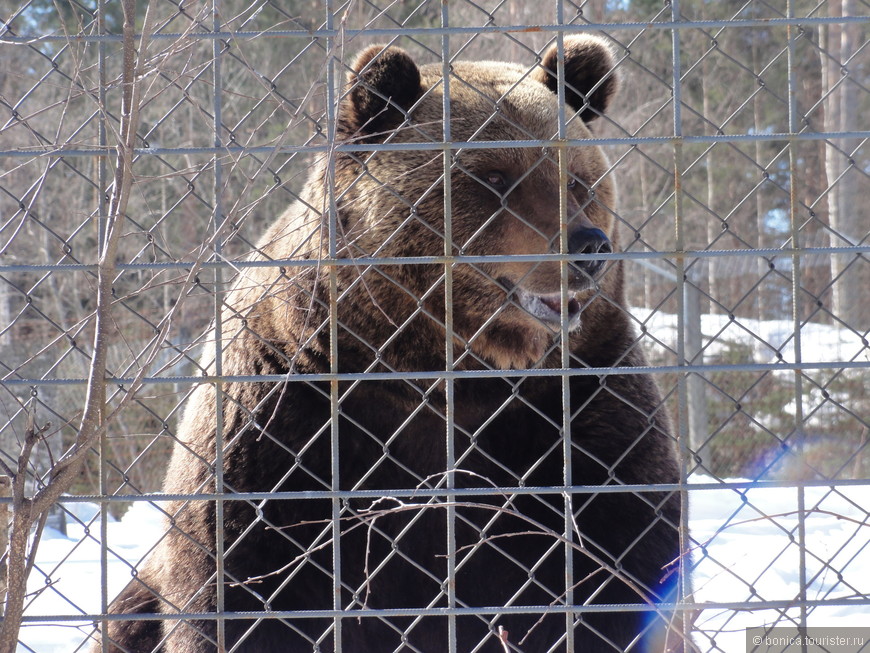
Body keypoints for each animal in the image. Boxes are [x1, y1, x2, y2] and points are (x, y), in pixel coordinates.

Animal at [102, 35, 688, 652]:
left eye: (577, 178)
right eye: (494, 178)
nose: (587, 245)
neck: (442, 372)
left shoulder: (578, 401)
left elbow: (622, 554)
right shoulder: (285, 413)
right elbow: (243, 582)